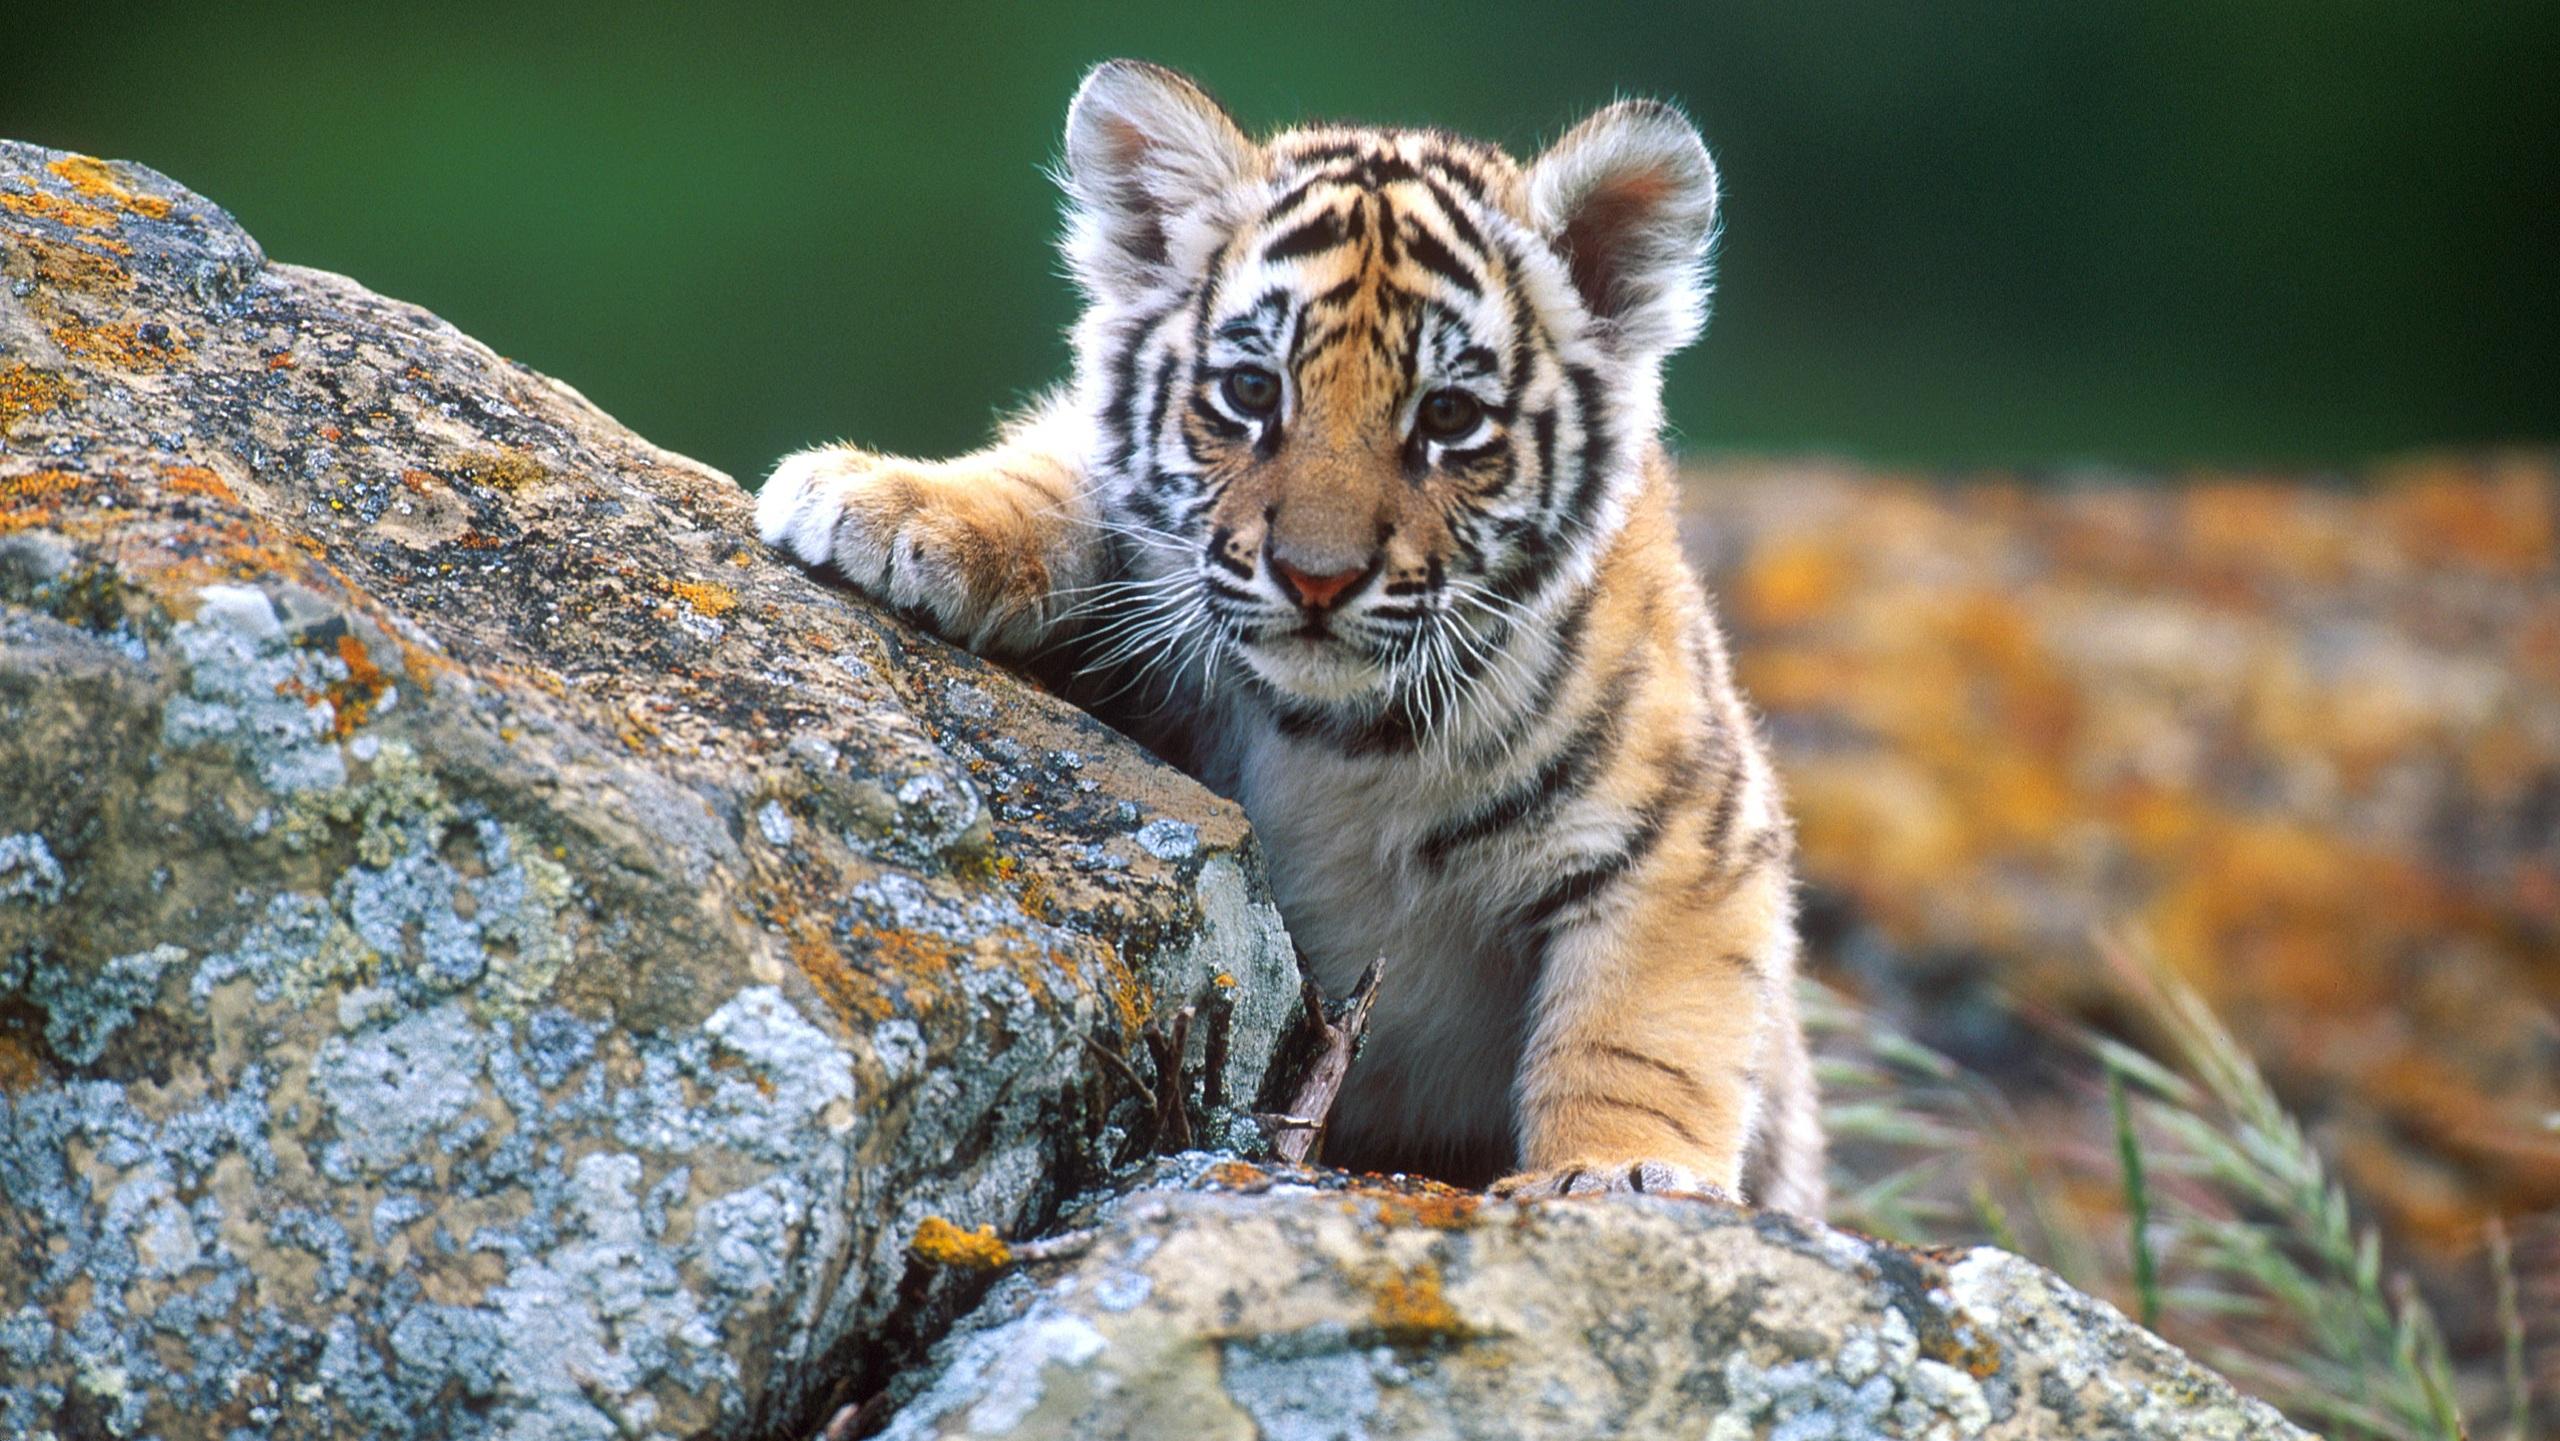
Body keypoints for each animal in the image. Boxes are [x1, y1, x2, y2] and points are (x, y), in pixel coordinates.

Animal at [757, 59, 1823, 1212]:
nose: (1317, 576)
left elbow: (1639, 1033)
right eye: (1250, 390)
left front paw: (1619, 1174)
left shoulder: (1689, 836)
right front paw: (883, 502)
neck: (1339, 737)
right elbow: (1059, 474)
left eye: (1448, 417)